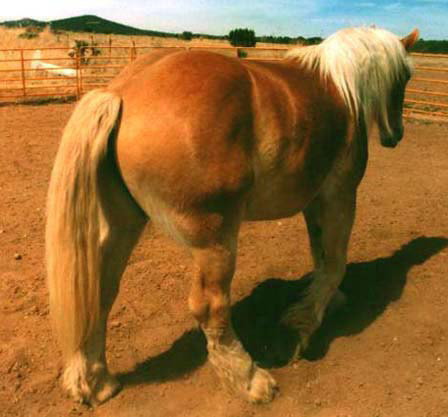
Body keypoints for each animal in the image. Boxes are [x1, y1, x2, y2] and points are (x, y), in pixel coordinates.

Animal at [45, 26, 419, 406]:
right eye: (406, 75)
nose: (396, 135)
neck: (341, 90)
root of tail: (122, 92)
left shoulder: (314, 202)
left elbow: (321, 256)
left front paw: (328, 300)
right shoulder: (339, 195)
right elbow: (335, 261)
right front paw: (304, 321)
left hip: (125, 225)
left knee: (98, 293)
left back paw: (96, 382)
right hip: (216, 240)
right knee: (210, 306)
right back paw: (250, 379)